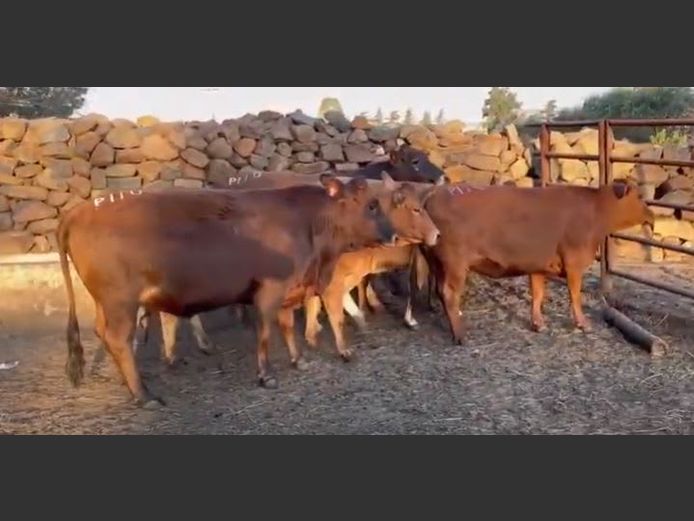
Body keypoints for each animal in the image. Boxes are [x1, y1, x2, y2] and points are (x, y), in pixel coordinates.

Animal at [58, 175, 397, 408]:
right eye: (371, 205)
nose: (393, 235)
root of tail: (81, 209)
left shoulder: (289, 289)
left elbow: (287, 327)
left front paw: (298, 360)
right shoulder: (269, 290)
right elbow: (265, 333)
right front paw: (266, 375)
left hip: (107, 302)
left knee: (104, 334)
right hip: (120, 301)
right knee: (118, 339)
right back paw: (144, 395)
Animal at [413, 181, 655, 344]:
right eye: (639, 196)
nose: (652, 216)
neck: (595, 211)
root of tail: (434, 194)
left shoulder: (538, 264)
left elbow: (538, 294)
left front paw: (538, 324)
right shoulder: (574, 263)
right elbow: (575, 295)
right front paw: (583, 324)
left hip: (435, 262)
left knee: (438, 290)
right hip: (454, 263)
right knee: (449, 293)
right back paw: (461, 335)